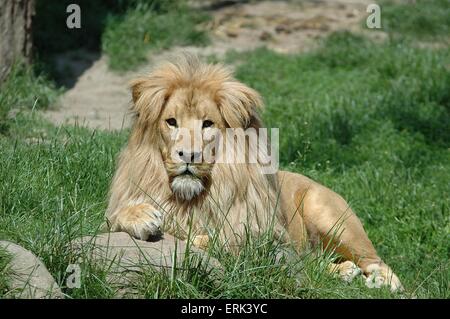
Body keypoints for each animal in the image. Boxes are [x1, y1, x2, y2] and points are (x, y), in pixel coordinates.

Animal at [106, 54, 404, 292]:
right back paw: (344, 272)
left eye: (207, 124)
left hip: (330, 216)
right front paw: (143, 217)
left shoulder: (264, 238)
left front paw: (194, 236)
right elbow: (114, 218)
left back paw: (381, 281)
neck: (191, 197)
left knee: (377, 262)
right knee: (313, 263)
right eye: (171, 122)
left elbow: (217, 238)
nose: (189, 156)